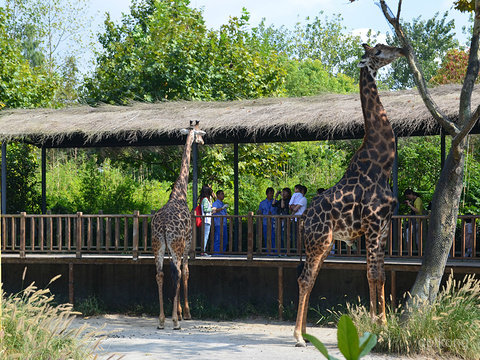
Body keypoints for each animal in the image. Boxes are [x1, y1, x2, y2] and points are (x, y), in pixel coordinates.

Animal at [294, 43, 404, 348]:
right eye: (379, 51)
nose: (401, 49)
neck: (381, 163)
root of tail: (305, 219)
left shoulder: (385, 225)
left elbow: (380, 274)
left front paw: (383, 326)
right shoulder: (373, 224)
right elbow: (372, 273)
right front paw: (377, 328)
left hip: (323, 243)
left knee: (311, 278)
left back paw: (306, 333)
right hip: (320, 240)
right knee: (305, 279)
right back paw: (297, 337)